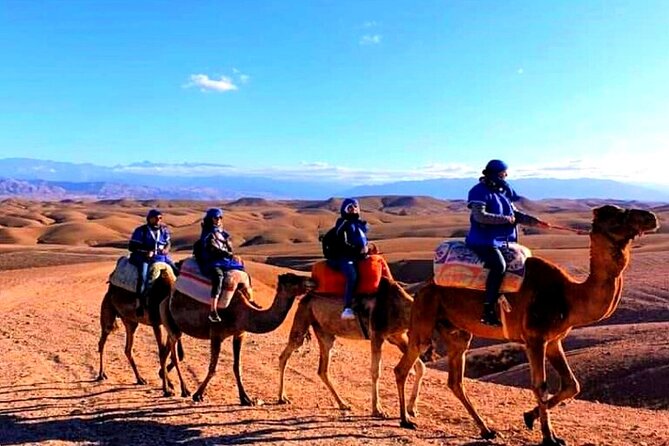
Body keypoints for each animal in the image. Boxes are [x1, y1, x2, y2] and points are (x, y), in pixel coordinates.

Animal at [159, 272, 316, 404]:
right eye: (292, 279)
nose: (311, 281)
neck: (242, 313)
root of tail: (166, 299)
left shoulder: (239, 334)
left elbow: (237, 367)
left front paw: (246, 398)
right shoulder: (216, 334)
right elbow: (212, 368)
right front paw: (198, 394)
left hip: (174, 325)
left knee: (165, 351)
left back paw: (167, 385)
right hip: (169, 318)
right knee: (173, 354)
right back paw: (182, 390)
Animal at [280, 276, 426, 418]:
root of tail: (306, 297)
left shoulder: (397, 336)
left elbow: (420, 367)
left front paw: (412, 409)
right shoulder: (377, 335)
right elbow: (375, 371)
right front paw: (378, 410)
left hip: (324, 332)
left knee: (322, 369)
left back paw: (342, 404)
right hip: (304, 314)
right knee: (287, 352)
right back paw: (282, 397)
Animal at [394, 206, 660, 446]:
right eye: (618, 215)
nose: (651, 217)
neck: (569, 296)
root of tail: (424, 286)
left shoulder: (554, 340)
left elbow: (572, 385)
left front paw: (529, 418)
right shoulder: (535, 338)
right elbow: (540, 385)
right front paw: (549, 437)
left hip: (457, 332)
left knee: (455, 381)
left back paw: (486, 430)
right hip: (424, 316)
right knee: (404, 366)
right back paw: (406, 420)